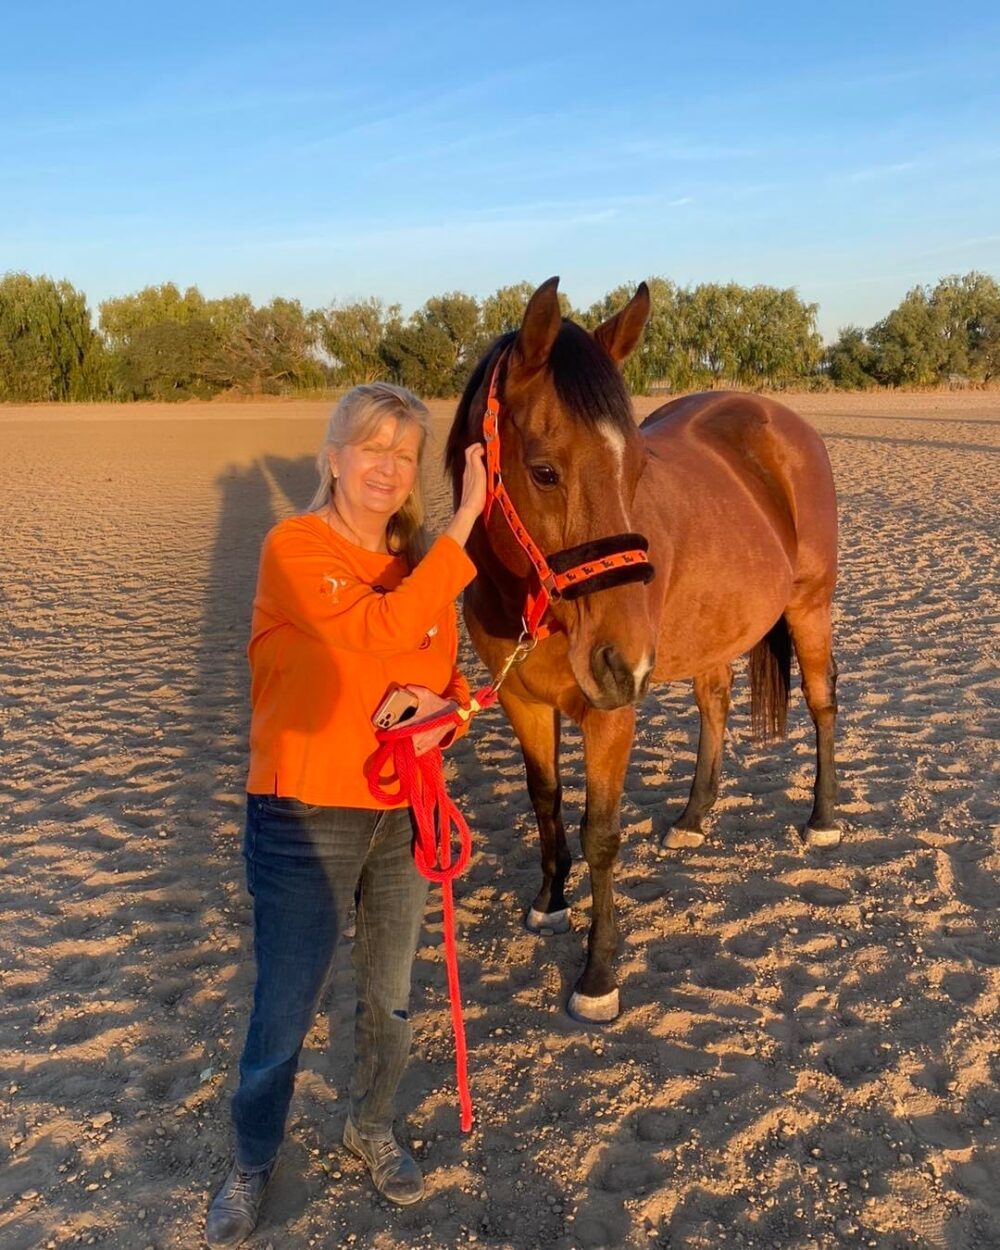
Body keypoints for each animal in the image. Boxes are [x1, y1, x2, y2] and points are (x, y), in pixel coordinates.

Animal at [442, 278, 840, 1020]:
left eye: (634, 471)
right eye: (544, 471)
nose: (622, 661)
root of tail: (778, 418)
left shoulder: (609, 714)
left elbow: (601, 833)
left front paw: (599, 974)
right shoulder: (520, 701)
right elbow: (545, 800)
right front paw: (550, 902)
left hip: (810, 607)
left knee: (824, 707)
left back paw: (822, 818)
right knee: (714, 708)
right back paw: (693, 817)